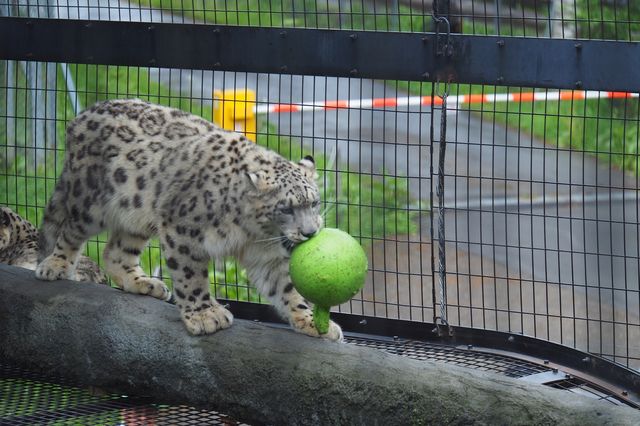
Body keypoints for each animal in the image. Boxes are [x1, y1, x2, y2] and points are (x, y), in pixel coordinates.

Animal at [35, 98, 344, 342]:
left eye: (314, 202)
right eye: (286, 208)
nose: (310, 232)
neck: (253, 231)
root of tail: (81, 116)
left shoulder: (265, 253)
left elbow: (285, 287)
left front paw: (313, 322)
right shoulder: (183, 230)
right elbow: (191, 275)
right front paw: (205, 316)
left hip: (137, 215)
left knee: (115, 252)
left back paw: (144, 283)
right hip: (89, 201)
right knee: (70, 231)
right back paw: (55, 265)